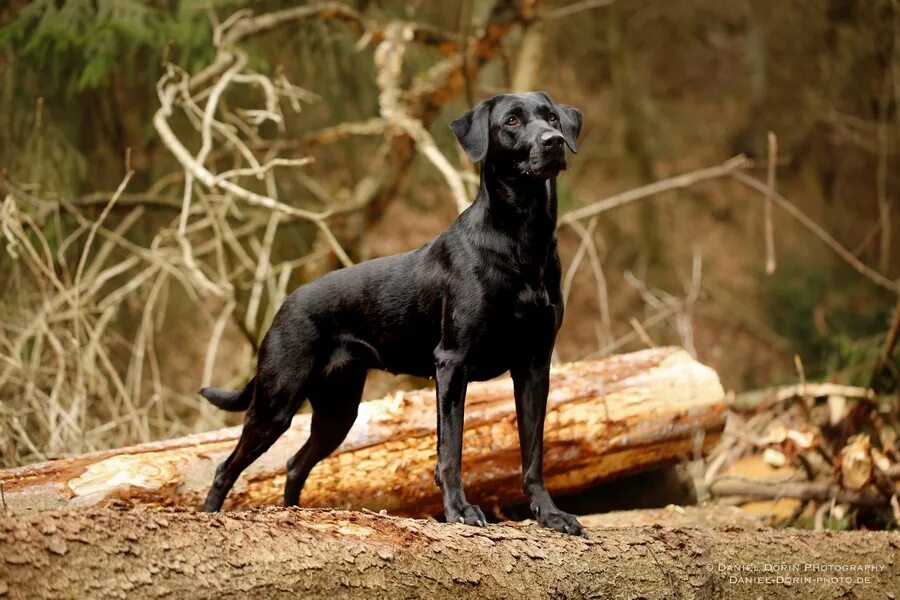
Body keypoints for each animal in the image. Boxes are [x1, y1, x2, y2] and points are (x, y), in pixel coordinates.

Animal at [199, 90, 584, 536]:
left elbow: (534, 453)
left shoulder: (534, 365)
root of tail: (283, 307)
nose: (554, 141)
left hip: (337, 411)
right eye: (511, 121)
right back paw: (209, 516)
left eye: (552, 117)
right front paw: (459, 511)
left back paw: (294, 514)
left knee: (295, 464)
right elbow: (450, 451)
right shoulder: (453, 363)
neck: (521, 239)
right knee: (226, 467)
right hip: (276, 402)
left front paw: (550, 515)